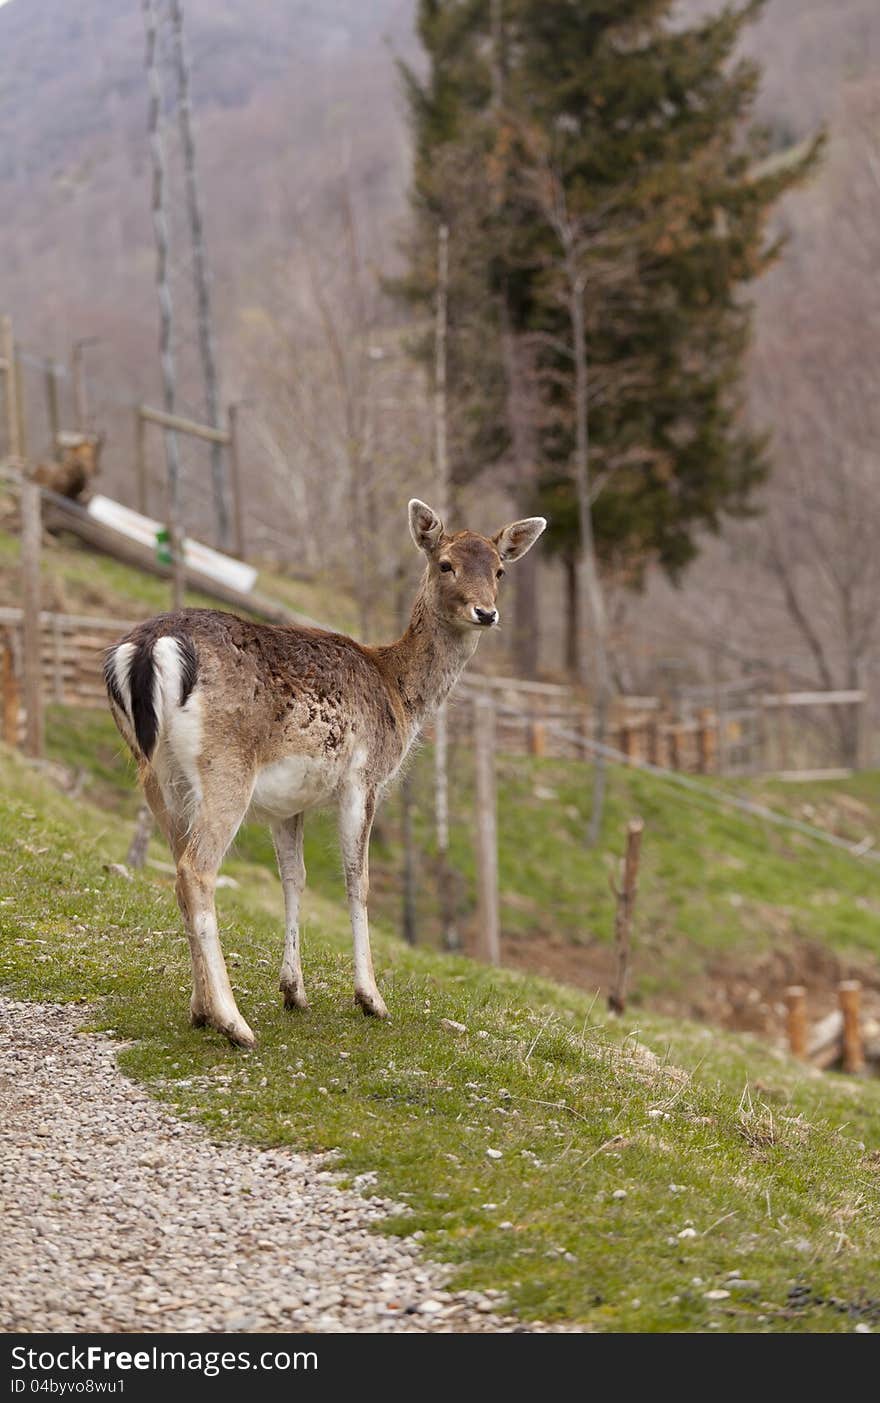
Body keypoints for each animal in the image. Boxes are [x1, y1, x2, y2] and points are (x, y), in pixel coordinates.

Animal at [101, 499, 544, 1049]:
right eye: (446, 564)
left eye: (500, 570)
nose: (486, 612)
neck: (399, 695)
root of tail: (145, 650)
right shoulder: (364, 779)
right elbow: (358, 879)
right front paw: (371, 998)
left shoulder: (287, 803)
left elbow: (295, 879)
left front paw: (295, 992)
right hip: (226, 766)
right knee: (195, 871)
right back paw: (233, 1022)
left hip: (156, 774)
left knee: (180, 868)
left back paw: (200, 1009)